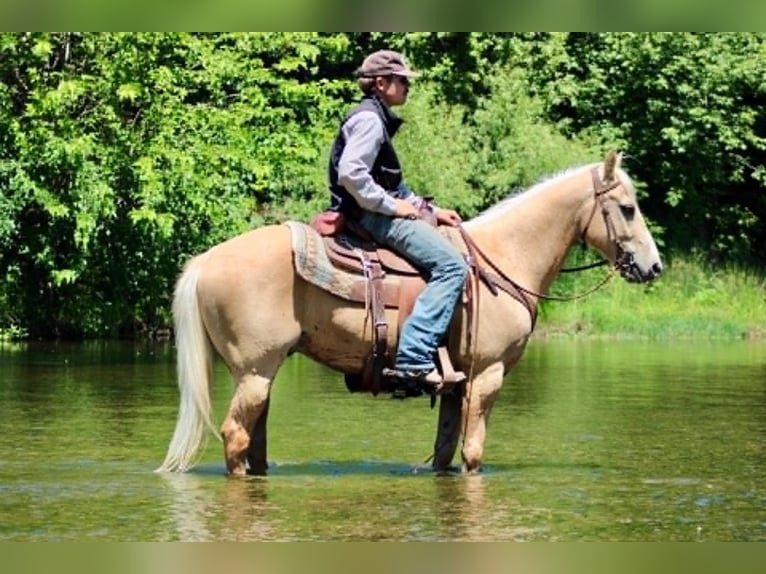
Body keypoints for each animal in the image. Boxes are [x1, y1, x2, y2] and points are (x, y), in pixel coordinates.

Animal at [156, 150, 662, 476]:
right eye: (627, 208)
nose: (653, 266)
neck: (505, 256)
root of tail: (205, 262)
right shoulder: (487, 375)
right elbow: (473, 455)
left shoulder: (457, 386)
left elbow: (443, 453)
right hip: (256, 370)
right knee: (235, 437)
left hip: (259, 376)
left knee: (253, 443)